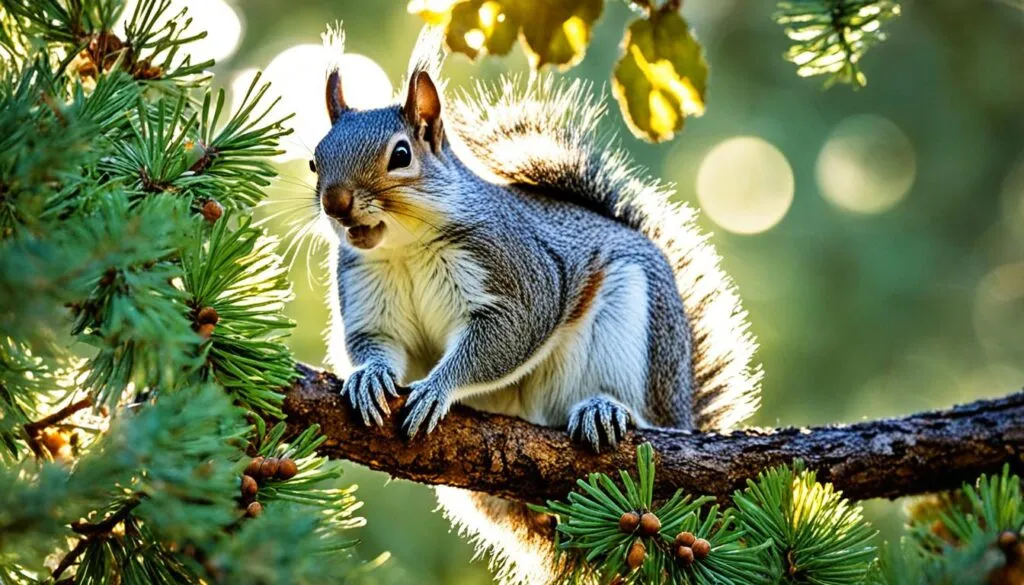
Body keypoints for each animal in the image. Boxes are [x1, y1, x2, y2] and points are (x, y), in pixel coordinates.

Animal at [311, 27, 762, 585]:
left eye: (400, 155)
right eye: (315, 160)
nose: (335, 203)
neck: (405, 247)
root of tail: (682, 410)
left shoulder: (520, 273)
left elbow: (505, 335)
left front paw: (438, 389)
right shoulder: (366, 291)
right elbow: (374, 344)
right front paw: (369, 378)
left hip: (633, 326)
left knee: (642, 415)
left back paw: (606, 410)